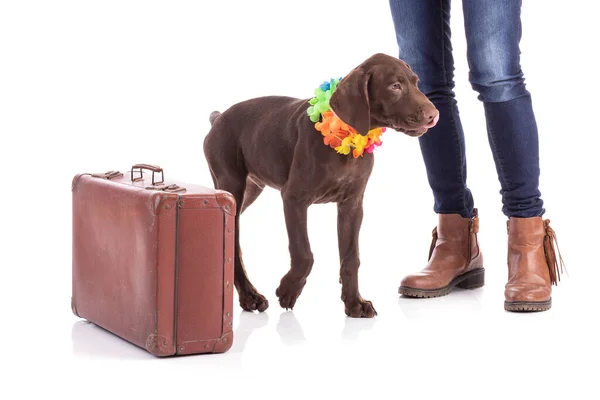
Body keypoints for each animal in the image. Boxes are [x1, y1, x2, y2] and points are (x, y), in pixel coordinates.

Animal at [204, 52, 438, 318]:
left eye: (416, 83)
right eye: (394, 86)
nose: (434, 115)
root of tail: (218, 118)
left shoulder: (352, 205)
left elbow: (351, 258)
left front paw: (354, 303)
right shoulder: (294, 198)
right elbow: (304, 253)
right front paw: (288, 290)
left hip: (251, 188)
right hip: (231, 183)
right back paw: (250, 297)